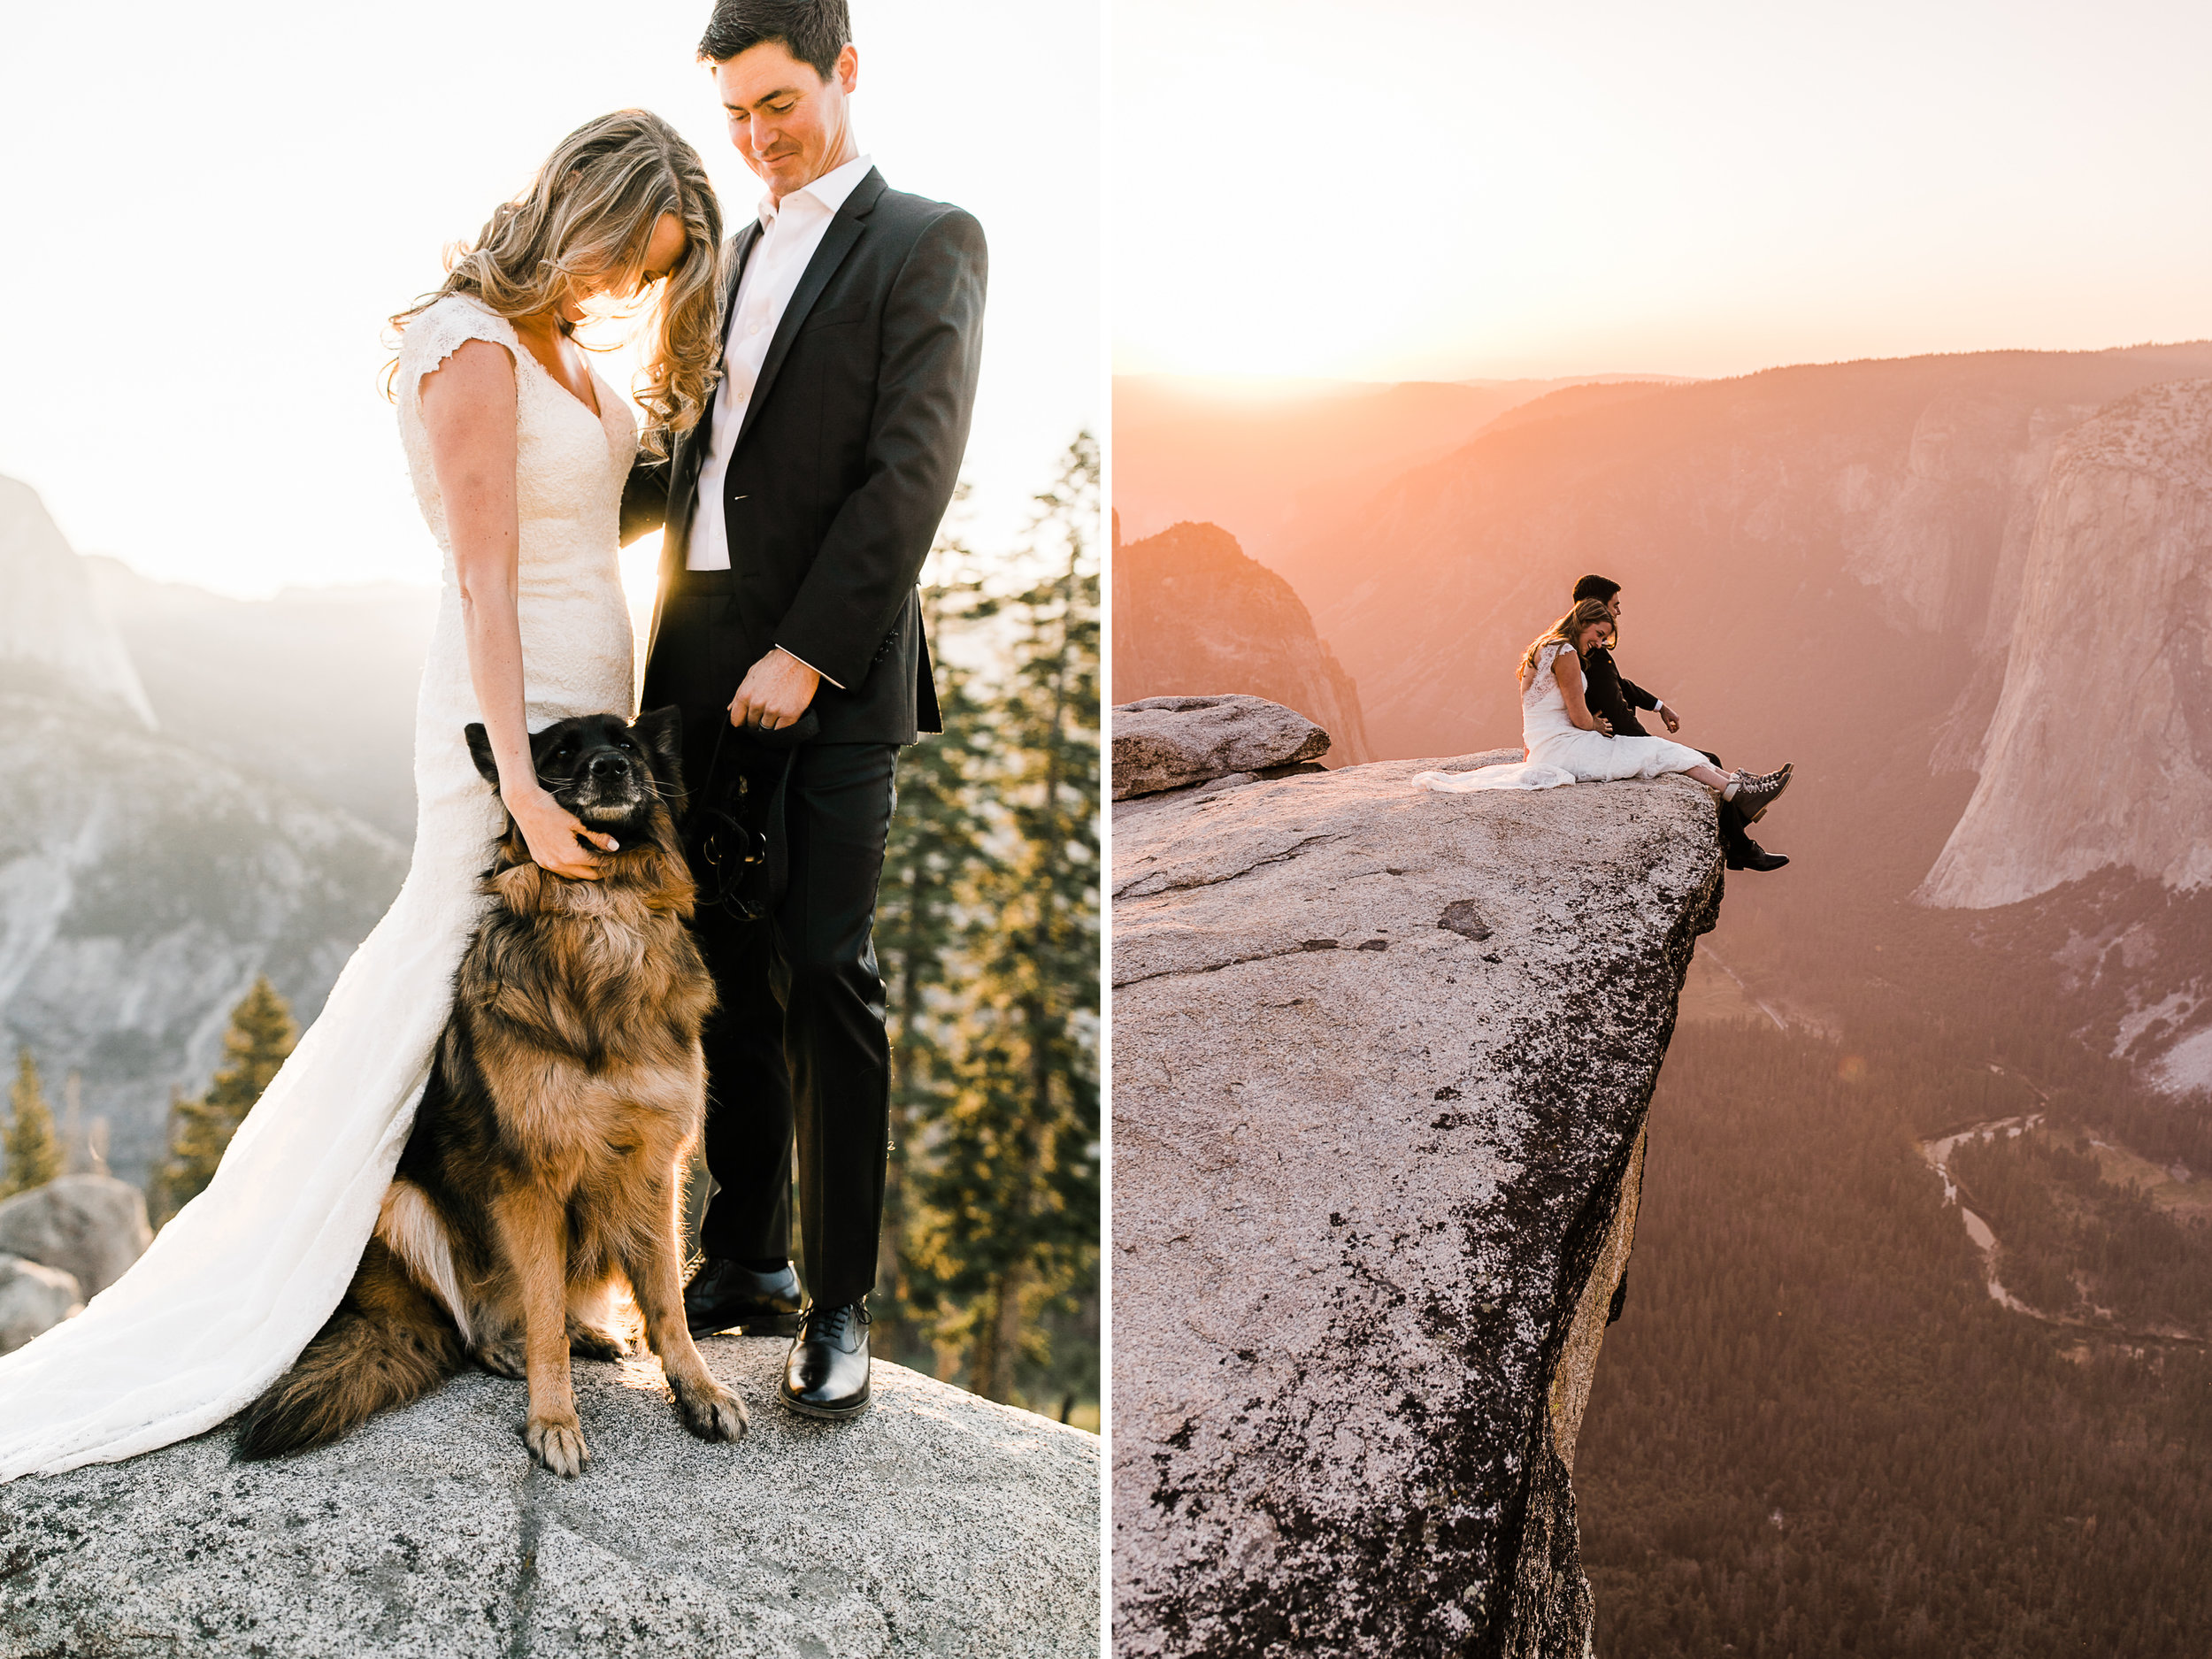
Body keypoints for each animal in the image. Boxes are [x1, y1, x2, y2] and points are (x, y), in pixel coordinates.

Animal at [239, 708, 748, 1478]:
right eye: (560, 753)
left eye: (626, 744)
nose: (612, 769)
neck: (599, 911)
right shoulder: (530, 1178)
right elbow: (541, 1312)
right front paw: (554, 1417)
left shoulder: (656, 1166)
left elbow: (668, 1303)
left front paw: (699, 1389)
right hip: (401, 1201)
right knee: (475, 1327)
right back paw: (507, 1347)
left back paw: (587, 1331)